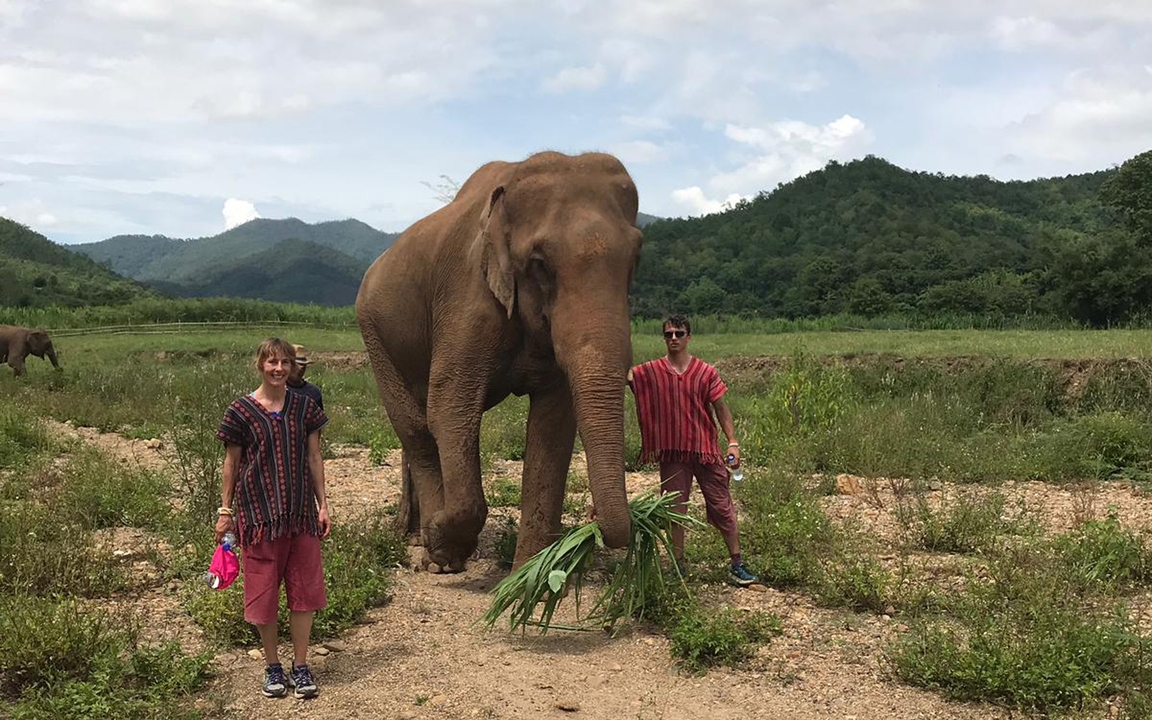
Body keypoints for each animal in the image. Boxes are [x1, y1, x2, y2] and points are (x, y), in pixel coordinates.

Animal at [356, 151, 642, 572]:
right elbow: (451, 408)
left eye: (636, 258)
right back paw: (431, 550)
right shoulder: (465, 298)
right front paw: (444, 545)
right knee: (415, 426)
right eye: (539, 263)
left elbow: (553, 424)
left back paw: (414, 535)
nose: (593, 518)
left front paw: (529, 574)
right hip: (374, 333)